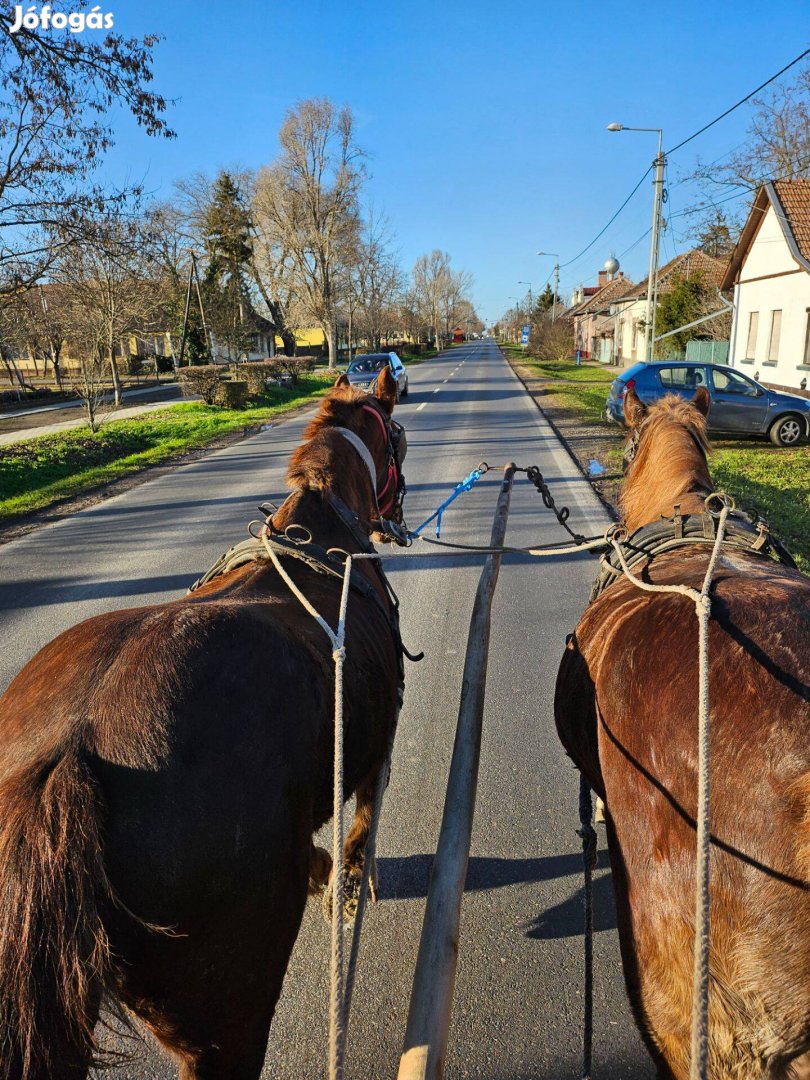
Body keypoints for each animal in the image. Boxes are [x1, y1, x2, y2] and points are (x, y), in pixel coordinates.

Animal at [0, 369, 408, 1080]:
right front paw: (353, 881)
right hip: (225, 1009)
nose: (400, 518)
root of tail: (69, 758)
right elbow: (364, 824)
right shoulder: (373, 752)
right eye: (397, 439)